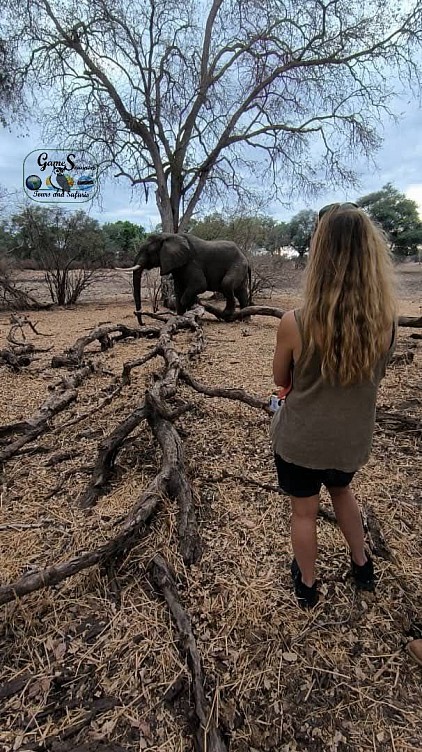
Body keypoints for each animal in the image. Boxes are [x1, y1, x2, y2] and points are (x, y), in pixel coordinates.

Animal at [121, 232, 252, 325]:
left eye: (148, 251)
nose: (143, 323)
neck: (168, 236)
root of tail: (245, 257)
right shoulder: (178, 266)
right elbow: (179, 290)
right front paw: (180, 317)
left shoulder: (191, 262)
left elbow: (200, 285)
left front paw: (189, 313)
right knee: (241, 293)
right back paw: (245, 319)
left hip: (238, 265)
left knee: (227, 284)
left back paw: (227, 315)